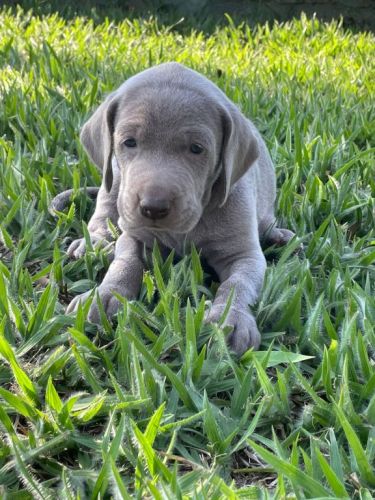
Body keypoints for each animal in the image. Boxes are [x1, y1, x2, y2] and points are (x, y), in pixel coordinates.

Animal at [66, 62, 294, 354]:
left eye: (196, 148)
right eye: (129, 142)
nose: (153, 208)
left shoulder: (245, 255)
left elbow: (237, 284)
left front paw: (231, 319)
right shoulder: (135, 236)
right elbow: (125, 262)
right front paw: (104, 295)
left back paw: (280, 236)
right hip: (114, 179)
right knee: (105, 211)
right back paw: (93, 242)